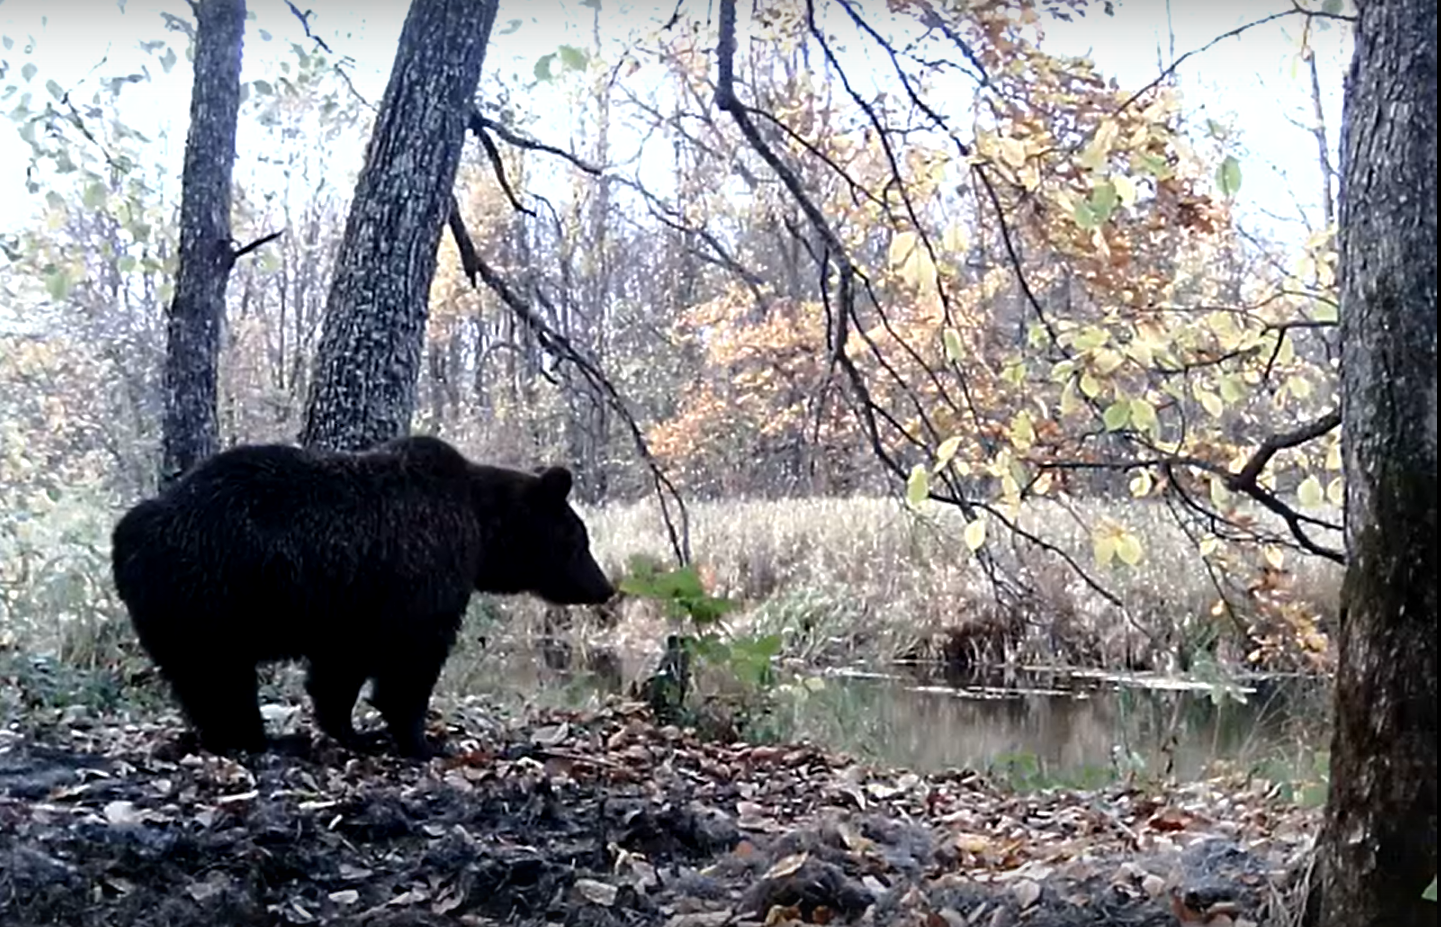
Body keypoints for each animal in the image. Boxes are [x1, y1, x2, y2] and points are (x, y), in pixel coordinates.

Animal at [108, 432, 613, 755]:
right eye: (579, 540)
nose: (604, 587)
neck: (481, 530)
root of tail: (130, 531)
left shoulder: (352, 605)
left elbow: (339, 670)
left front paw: (349, 730)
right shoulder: (419, 577)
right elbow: (412, 659)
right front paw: (423, 740)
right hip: (212, 591)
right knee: (218, 674)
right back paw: (248, 735)